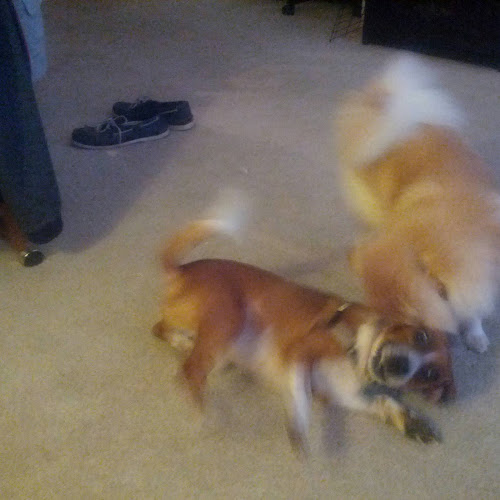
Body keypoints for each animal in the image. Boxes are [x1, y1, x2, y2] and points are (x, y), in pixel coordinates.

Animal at [152, 194, 452, 452]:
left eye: (429, 375)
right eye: (420, 335)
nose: (401, 365)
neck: (359, 354)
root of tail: (180, 271)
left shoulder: (338, 393)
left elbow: (383, 401)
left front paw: (412, 422)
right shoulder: (299, 354)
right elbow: (300, 396)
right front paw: (298, 425)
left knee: (162, 330)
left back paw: (185, 343)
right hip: (229, 316)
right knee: (189, 369)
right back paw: (202, 407)